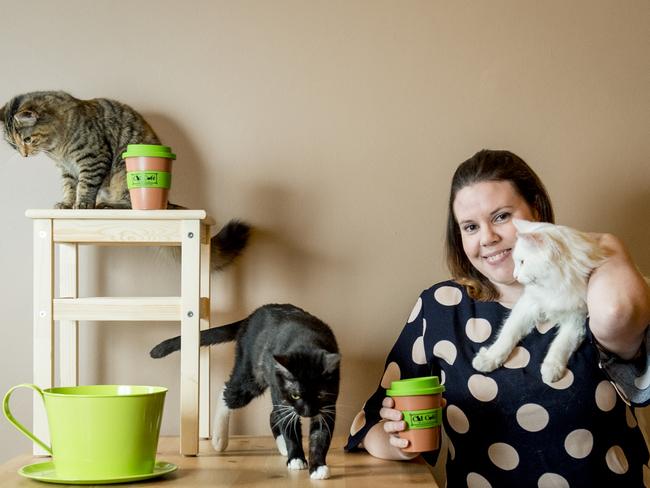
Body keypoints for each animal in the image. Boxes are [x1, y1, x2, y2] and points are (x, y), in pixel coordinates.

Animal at [148, 304, 340, 478]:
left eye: (320, 395)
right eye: (295, 394)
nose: (306, 412)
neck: (306, 343)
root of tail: (252, 315)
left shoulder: (327, 405)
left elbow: (321, 434)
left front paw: (318, 466)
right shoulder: (283, 395)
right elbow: (289, 427)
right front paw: (296, 458)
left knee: (273, 415)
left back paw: (282, 447)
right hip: (251, 373)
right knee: (229, 392)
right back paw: (219, 439)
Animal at [470, 219, 604, 384]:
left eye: (522, 262)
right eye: (517, 262)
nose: (515, 276)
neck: (554, 286)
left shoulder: (576, 320)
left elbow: (560, 345)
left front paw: (552, 369)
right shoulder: (526, 307)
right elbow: (507, 336)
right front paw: (489, 358)